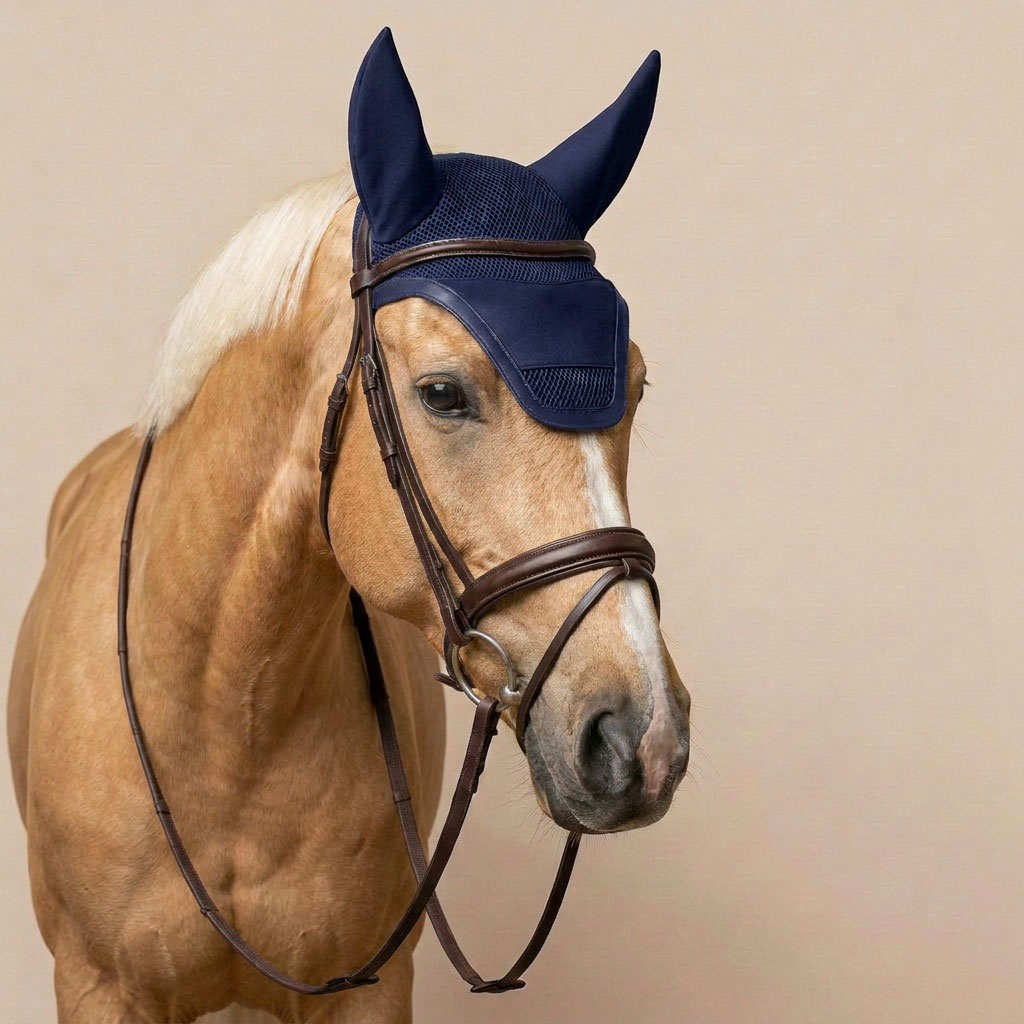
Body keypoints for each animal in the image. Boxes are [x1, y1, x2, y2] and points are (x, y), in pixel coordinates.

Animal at [7, 28, 690, 1023]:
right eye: (441, 393)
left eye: (634, 384)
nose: (642, 737)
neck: (226, 711)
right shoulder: (98, 988)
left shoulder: (367, 990)